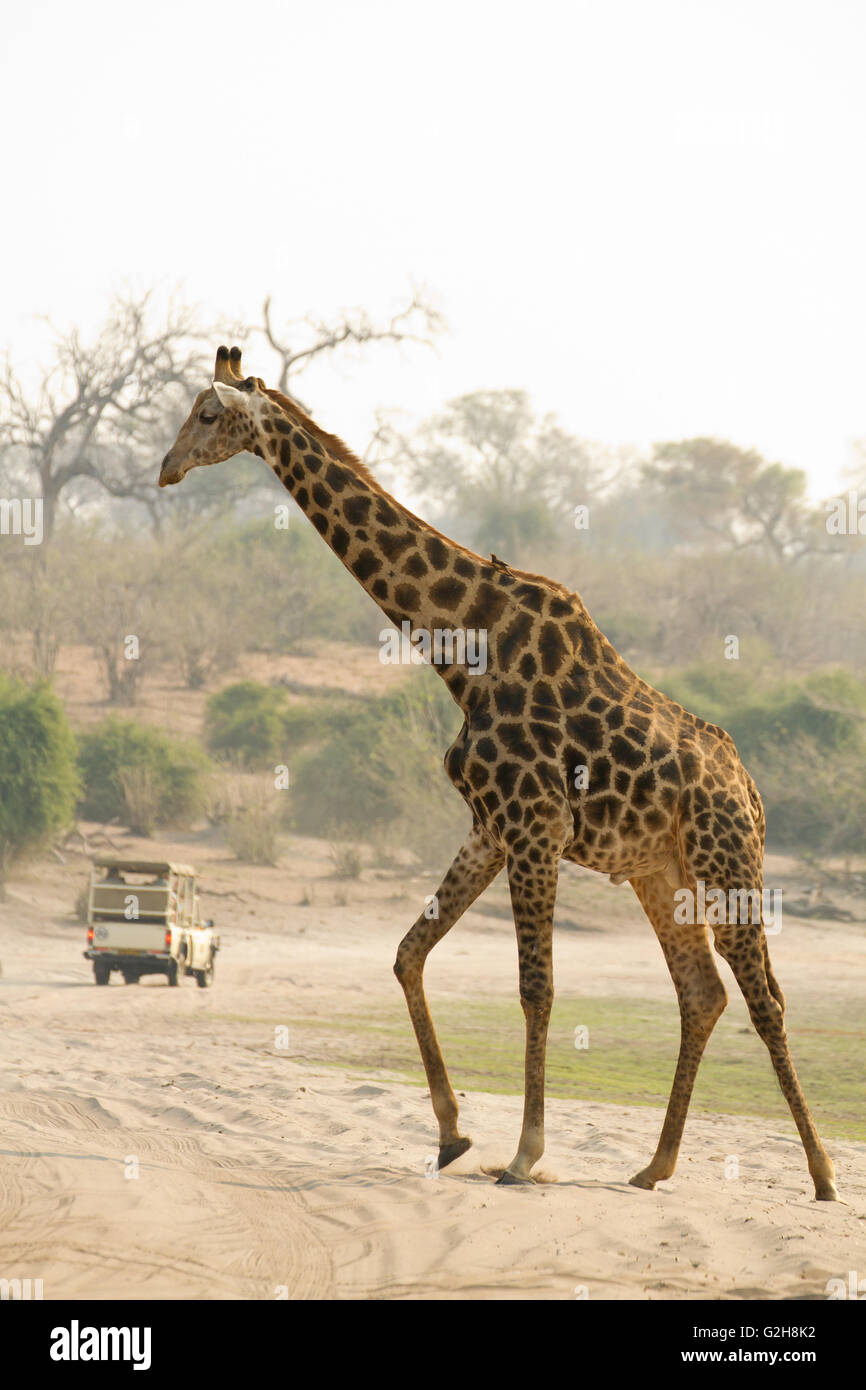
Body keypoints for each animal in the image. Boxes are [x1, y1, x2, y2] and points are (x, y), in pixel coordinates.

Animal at [158, 346, 838, 1201]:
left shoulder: (534, 826)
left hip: (728, 860)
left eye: (208, 413)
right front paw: (453, 1134)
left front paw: (522, 1154)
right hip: (661, 872)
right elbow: (408, 953)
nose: (166, 469)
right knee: (702, 992)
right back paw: (654, 1166)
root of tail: (751, 790)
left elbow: (534, 988)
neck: (461, 650)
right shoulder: (490, 825)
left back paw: (822, 1175)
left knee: (766, 998)